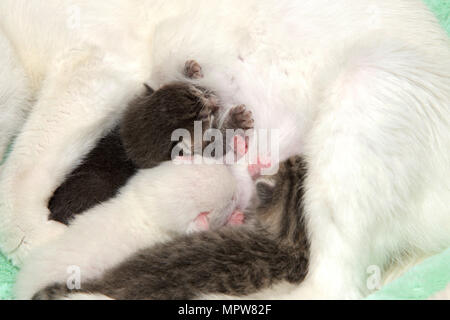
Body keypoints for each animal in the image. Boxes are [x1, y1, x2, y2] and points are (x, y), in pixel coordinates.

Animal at [49, 60, 255, 225]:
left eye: (198, 91)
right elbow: (217, 146)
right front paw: (236, 120)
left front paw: (190, 72)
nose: (215, 100)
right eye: (208, 117)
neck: (130, 151)